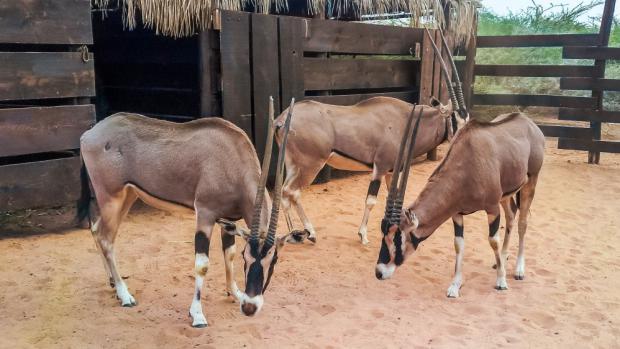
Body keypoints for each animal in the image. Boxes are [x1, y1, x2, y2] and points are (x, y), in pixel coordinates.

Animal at [80, 96, 300, 326]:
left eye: (273, 260)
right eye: (246, 256)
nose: (249, 307)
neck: (233, 157)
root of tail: (89, 135)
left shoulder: (228, 220)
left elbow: (228, 254)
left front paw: (235, 293)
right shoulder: (205, 214)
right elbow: (202, 264)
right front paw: (197, 314)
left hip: (128, 196)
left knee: (98, 231)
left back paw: (112, 283)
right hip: (111, 198)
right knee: (106, 238)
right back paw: (124, 294)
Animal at [274, 28, 468, 243]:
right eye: (455, 119)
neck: (406, 119)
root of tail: (282, 119)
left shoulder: (392, 171)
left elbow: (392, 198)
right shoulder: (380, 167)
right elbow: (371, 201)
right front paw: (363, 235)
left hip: (293, 165)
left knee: (284, 193)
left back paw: (296, 232)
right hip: (311, 165)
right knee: (291, 191)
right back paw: (306, 232)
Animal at [372, 107, 544, 294]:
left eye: (397, 237)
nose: (379, 273)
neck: (466, 164)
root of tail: (529, 123)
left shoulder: (492, 209)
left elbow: (493, 241)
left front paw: (501, 281)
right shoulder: (456, 213)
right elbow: (458, 244)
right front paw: (455, 286)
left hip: (531, 182)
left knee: (522, 222)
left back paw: (519, 270)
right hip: (506, 194)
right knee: (511, 215)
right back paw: (502, 260)